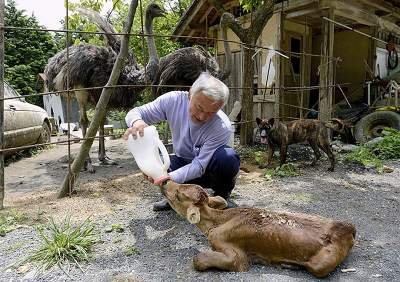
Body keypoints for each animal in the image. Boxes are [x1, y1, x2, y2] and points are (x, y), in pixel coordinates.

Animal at [162, 181, 356, 278]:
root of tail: (349, 228)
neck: (215, 223)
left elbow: (199, 259)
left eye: (178, 195)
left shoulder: (237, 257)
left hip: (322, 264)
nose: (165, 182)